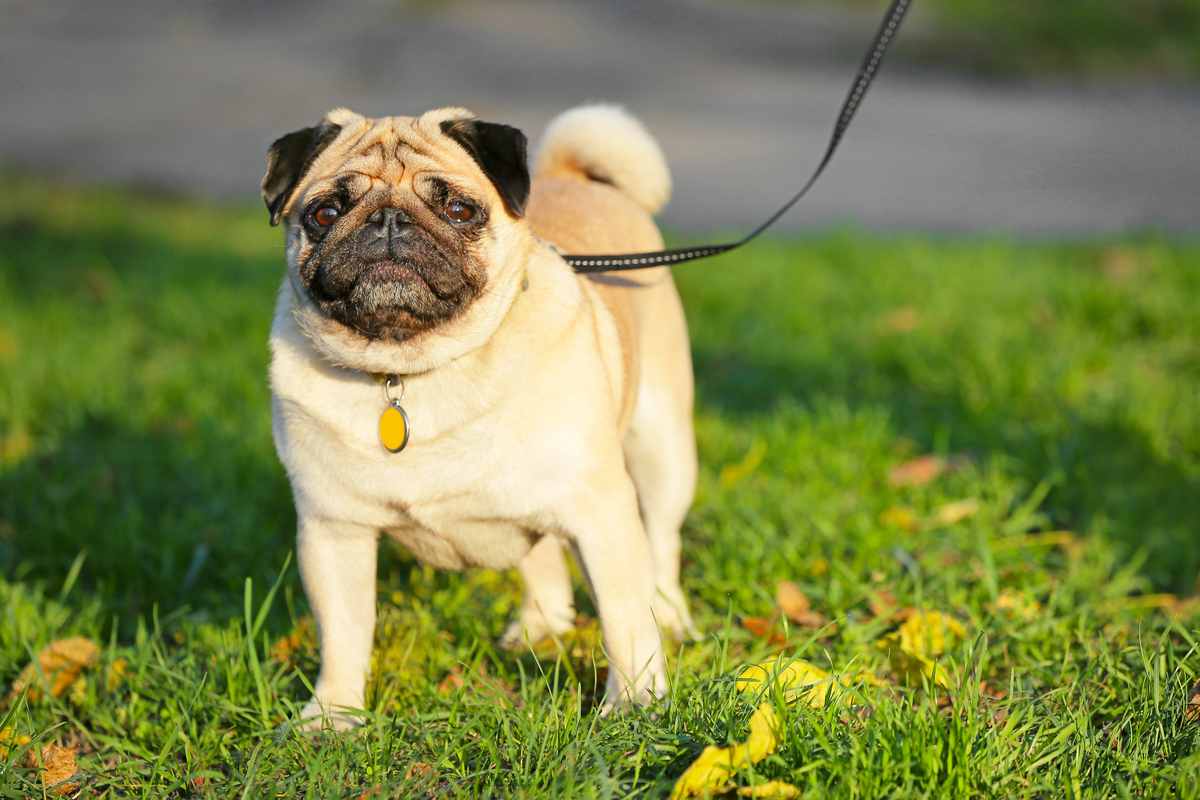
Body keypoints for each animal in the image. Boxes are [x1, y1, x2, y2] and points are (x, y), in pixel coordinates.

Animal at [260, 103, 696, 729]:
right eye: (325, 213)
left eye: (459, 210)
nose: (388, 222)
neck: (411, 373)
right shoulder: (333, 530)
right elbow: (343, 632)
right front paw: (332, 716)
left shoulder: (601, 515)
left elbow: (625, 621)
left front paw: (636, 704)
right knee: (543, 558)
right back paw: (541, 626)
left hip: (662, 449)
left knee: (660, 546)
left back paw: (670, 614)